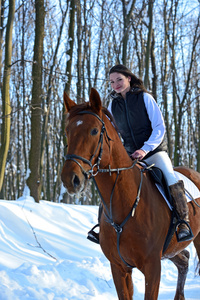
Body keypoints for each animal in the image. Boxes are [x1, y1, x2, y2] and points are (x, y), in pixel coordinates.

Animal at [60, 88, 200, 300]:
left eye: (94, 130)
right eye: (67, 131)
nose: (70, 179)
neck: (127, 203)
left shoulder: (152, 267)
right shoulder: (119, 268)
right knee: (183, 260)